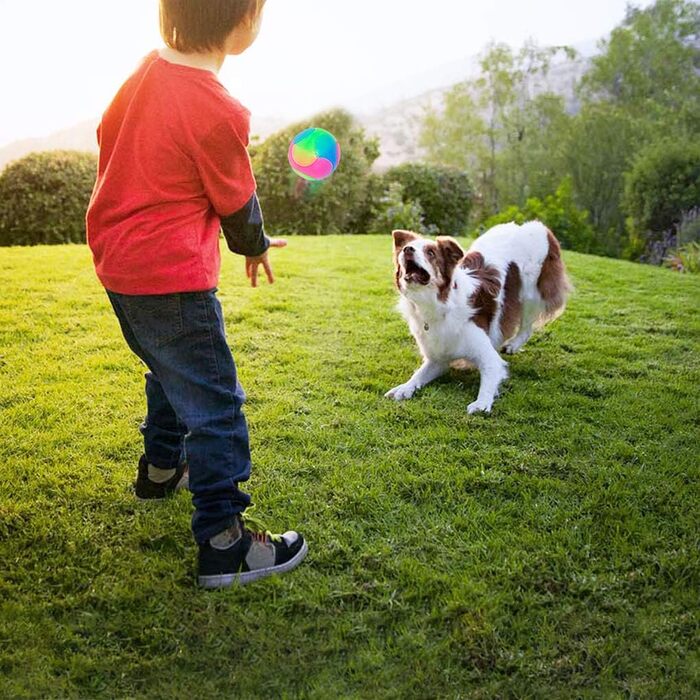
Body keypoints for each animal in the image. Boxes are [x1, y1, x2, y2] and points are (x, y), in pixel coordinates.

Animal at [386, 221, 572, 412]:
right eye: (407, 248)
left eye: (430, 252)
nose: (407, 249)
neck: (440, 305)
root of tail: (536, 226)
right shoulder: (438, 359)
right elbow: (418, 375)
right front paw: (404, 388)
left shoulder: (490, 358)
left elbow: (489, 377)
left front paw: (481, 403)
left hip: (531, 295)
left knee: (527, 327)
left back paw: (513, 345)